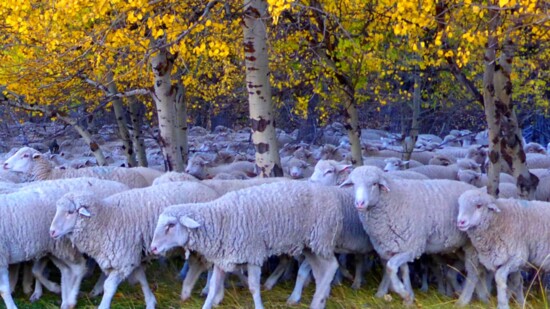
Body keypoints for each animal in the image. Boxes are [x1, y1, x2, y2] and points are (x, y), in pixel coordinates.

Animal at [0, 177, 129, 308]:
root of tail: (122, 186)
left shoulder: (2, 257)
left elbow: (4, 289)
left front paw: (12, 305)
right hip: (53, 247)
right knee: (66, 270)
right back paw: (64, 296)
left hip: (65, 246)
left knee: (79, 268)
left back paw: (72, 297)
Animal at [47, 180, 220, 308]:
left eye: (70, 212)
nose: (51, 232)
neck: (106, 218)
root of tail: (208, 189)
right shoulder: (133, 255)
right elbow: (141, 278)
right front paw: (150, 301)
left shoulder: (123, 259)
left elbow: (109, 287)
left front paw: (103, 305)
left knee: (211, 266)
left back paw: (207, 290)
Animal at [150, 180, 350, 308]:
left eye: (170, 225)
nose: (153, 248)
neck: (219, 220)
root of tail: (331, 193)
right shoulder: (222, 259)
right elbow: (213, 288)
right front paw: (207, 304)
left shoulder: (253, 254)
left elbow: (254, 287)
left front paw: (259, 305)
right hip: (311, 245)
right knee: (321, 271)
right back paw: (318, 300)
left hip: (321, 238)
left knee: (331, 266)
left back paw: (316, 301)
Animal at [342, 165, 480, 304]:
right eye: (353, 184)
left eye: (374, 184)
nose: (359, 203)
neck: (394, 199)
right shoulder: (399, 245)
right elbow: (404, 270)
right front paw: (408, 296)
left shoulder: (413, 247)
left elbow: (391, 267)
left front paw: (402, 291)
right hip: (459, 246)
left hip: (473, 244)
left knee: (474, 271)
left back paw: (464, 300)